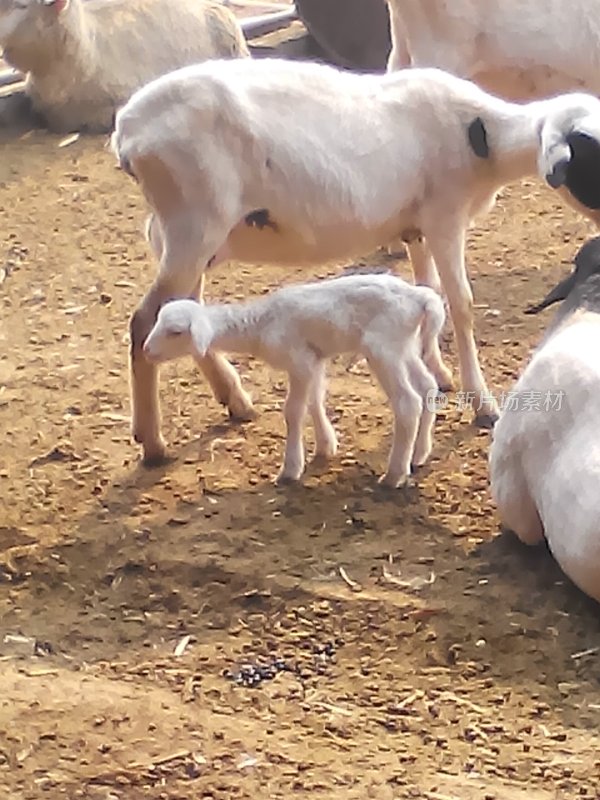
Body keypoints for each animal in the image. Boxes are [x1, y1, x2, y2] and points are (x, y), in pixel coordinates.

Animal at [112, 56, 600, 466]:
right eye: (589, 153)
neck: (482, 137)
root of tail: (128, 131)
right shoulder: (445, 217)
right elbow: (460, 303)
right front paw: (482, 404)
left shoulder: (415, 227)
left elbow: (430, 292)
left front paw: (438, 373)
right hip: (193, 223)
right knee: (144, 321)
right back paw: (152, 442)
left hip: (194, 237)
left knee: (185, 309)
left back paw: (234, 400)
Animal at [142, 274, 446, 488]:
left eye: (175, 331)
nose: (146, 350)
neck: (259, 325)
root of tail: (420, 298)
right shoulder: (313, 359)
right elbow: (315, 400)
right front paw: (325, 447)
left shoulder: (298, 359)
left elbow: (294, 411)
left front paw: (290, 470)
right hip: (405, 345)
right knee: (427, 387)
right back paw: (419, 454)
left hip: (383, 347)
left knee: (408, 402)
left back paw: (394, 475)